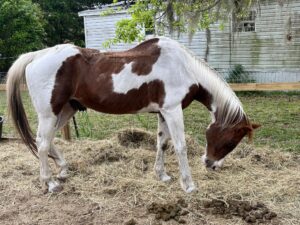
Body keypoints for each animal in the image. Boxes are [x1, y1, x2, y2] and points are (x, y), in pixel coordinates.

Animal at [5, 36, 258, 192]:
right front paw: (188, 184)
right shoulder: (173, 110)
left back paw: (63, 169)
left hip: (67, 110)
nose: (211, 164)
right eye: (230, 142)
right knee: (42, 143)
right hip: (49, 114)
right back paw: (50, 183)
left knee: (47, 140)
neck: (183, 67)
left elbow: (162, 144)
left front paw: (162, 175)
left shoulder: (163, 112)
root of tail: (36, 56)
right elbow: (180, 146)